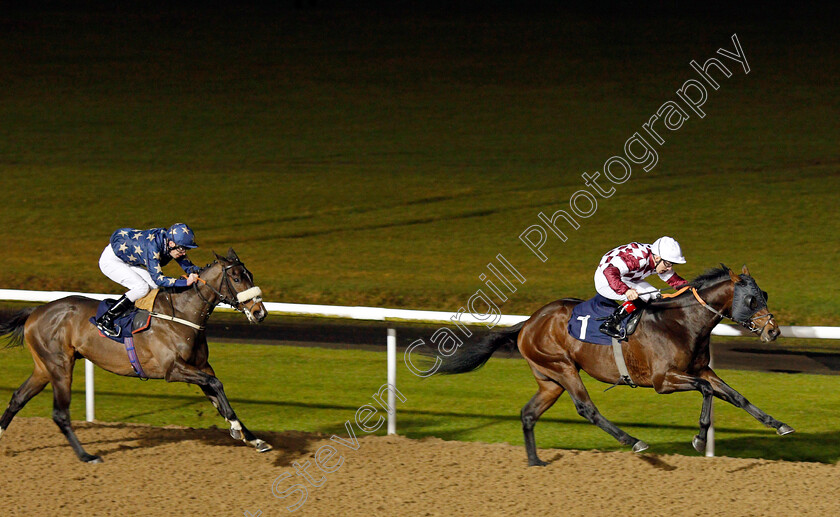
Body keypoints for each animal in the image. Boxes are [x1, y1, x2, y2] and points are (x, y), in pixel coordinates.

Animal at [0, 248, 270, 462]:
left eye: (251, 275)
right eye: (236, 277)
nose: (260, 312)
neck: (181, 314)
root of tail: (36, 311)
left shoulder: (201, 367)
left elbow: (219, 396)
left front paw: (253, 438)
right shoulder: (173, 369)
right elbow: (217, 384)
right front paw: (237, 428)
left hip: (44, 368)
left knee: (17, 398)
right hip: (60, 366)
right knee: (60, 413)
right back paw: (87, 456)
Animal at [434, 266, 796, 464]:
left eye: (764, 294)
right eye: (751, 299)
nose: (773, 331)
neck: (681, 322)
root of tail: (527, 323)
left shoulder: (700, 369)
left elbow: (736, 396)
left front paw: (779, 424)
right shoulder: (664, 380)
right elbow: (707, 391)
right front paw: (697, 438)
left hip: (549, 379)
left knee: (528, 413)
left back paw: (535, 462)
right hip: (563, 368)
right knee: (587, 409)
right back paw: (633, 440)